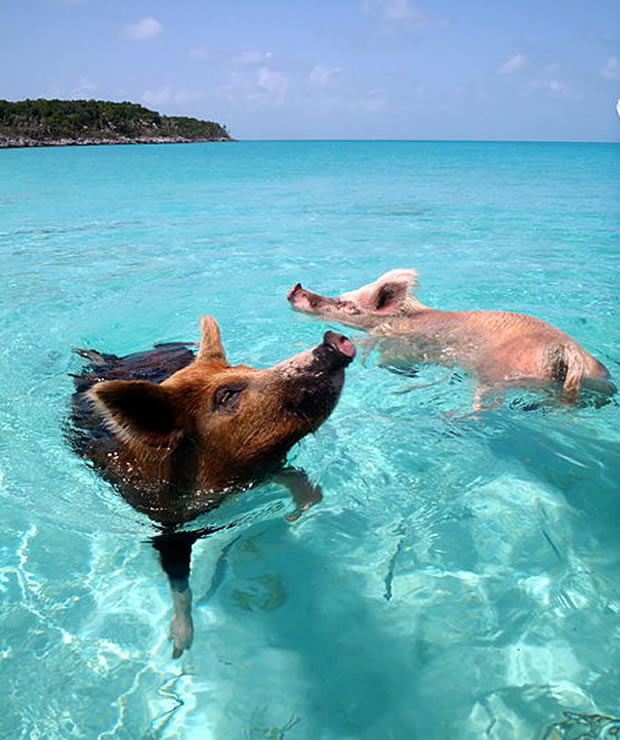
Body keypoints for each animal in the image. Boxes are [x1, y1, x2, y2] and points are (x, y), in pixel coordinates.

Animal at [69, 315, 355, 657]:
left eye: (248, 368)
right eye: (227, 395)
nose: (334, 340)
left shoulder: (263, 468)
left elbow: (295, 478)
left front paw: (298, 512)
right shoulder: (167, 528)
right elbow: (179, 584)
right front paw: (180, 648)